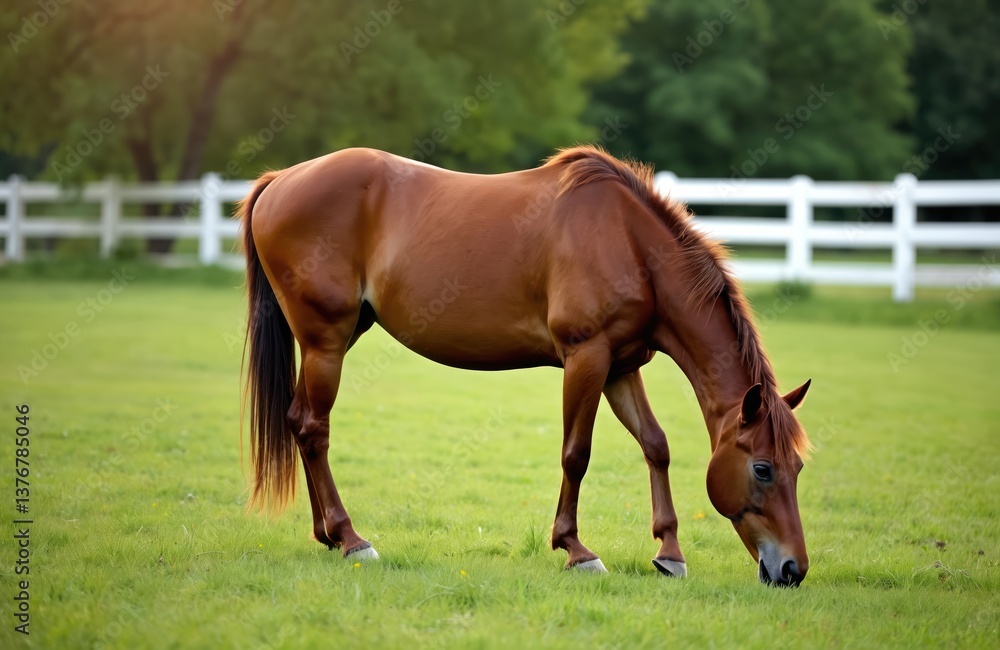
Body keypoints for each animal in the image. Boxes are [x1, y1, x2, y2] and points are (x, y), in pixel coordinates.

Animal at [239, 145, 813, 586]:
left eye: (799, 467)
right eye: (763, 468)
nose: (793, 570)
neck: (628, 241)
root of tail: (279, 180)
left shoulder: (621, 367)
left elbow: (656, 445)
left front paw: (669, 553)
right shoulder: (586, 358)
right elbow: (576, 454)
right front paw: (577, 549)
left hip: (332, 340)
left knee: (299, 422)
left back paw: (327, 536)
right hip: (326, 343)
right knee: (314, 429)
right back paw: (352, 538)